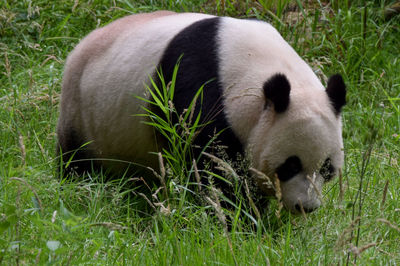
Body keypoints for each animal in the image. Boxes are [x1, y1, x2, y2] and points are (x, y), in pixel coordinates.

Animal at [57, 10, 346, 214]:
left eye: (327, 168)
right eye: (290, 165)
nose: (306, 207)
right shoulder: (194, 91)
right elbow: (213, 169)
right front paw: (239, 218)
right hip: (81, 110)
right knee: (76, 158)